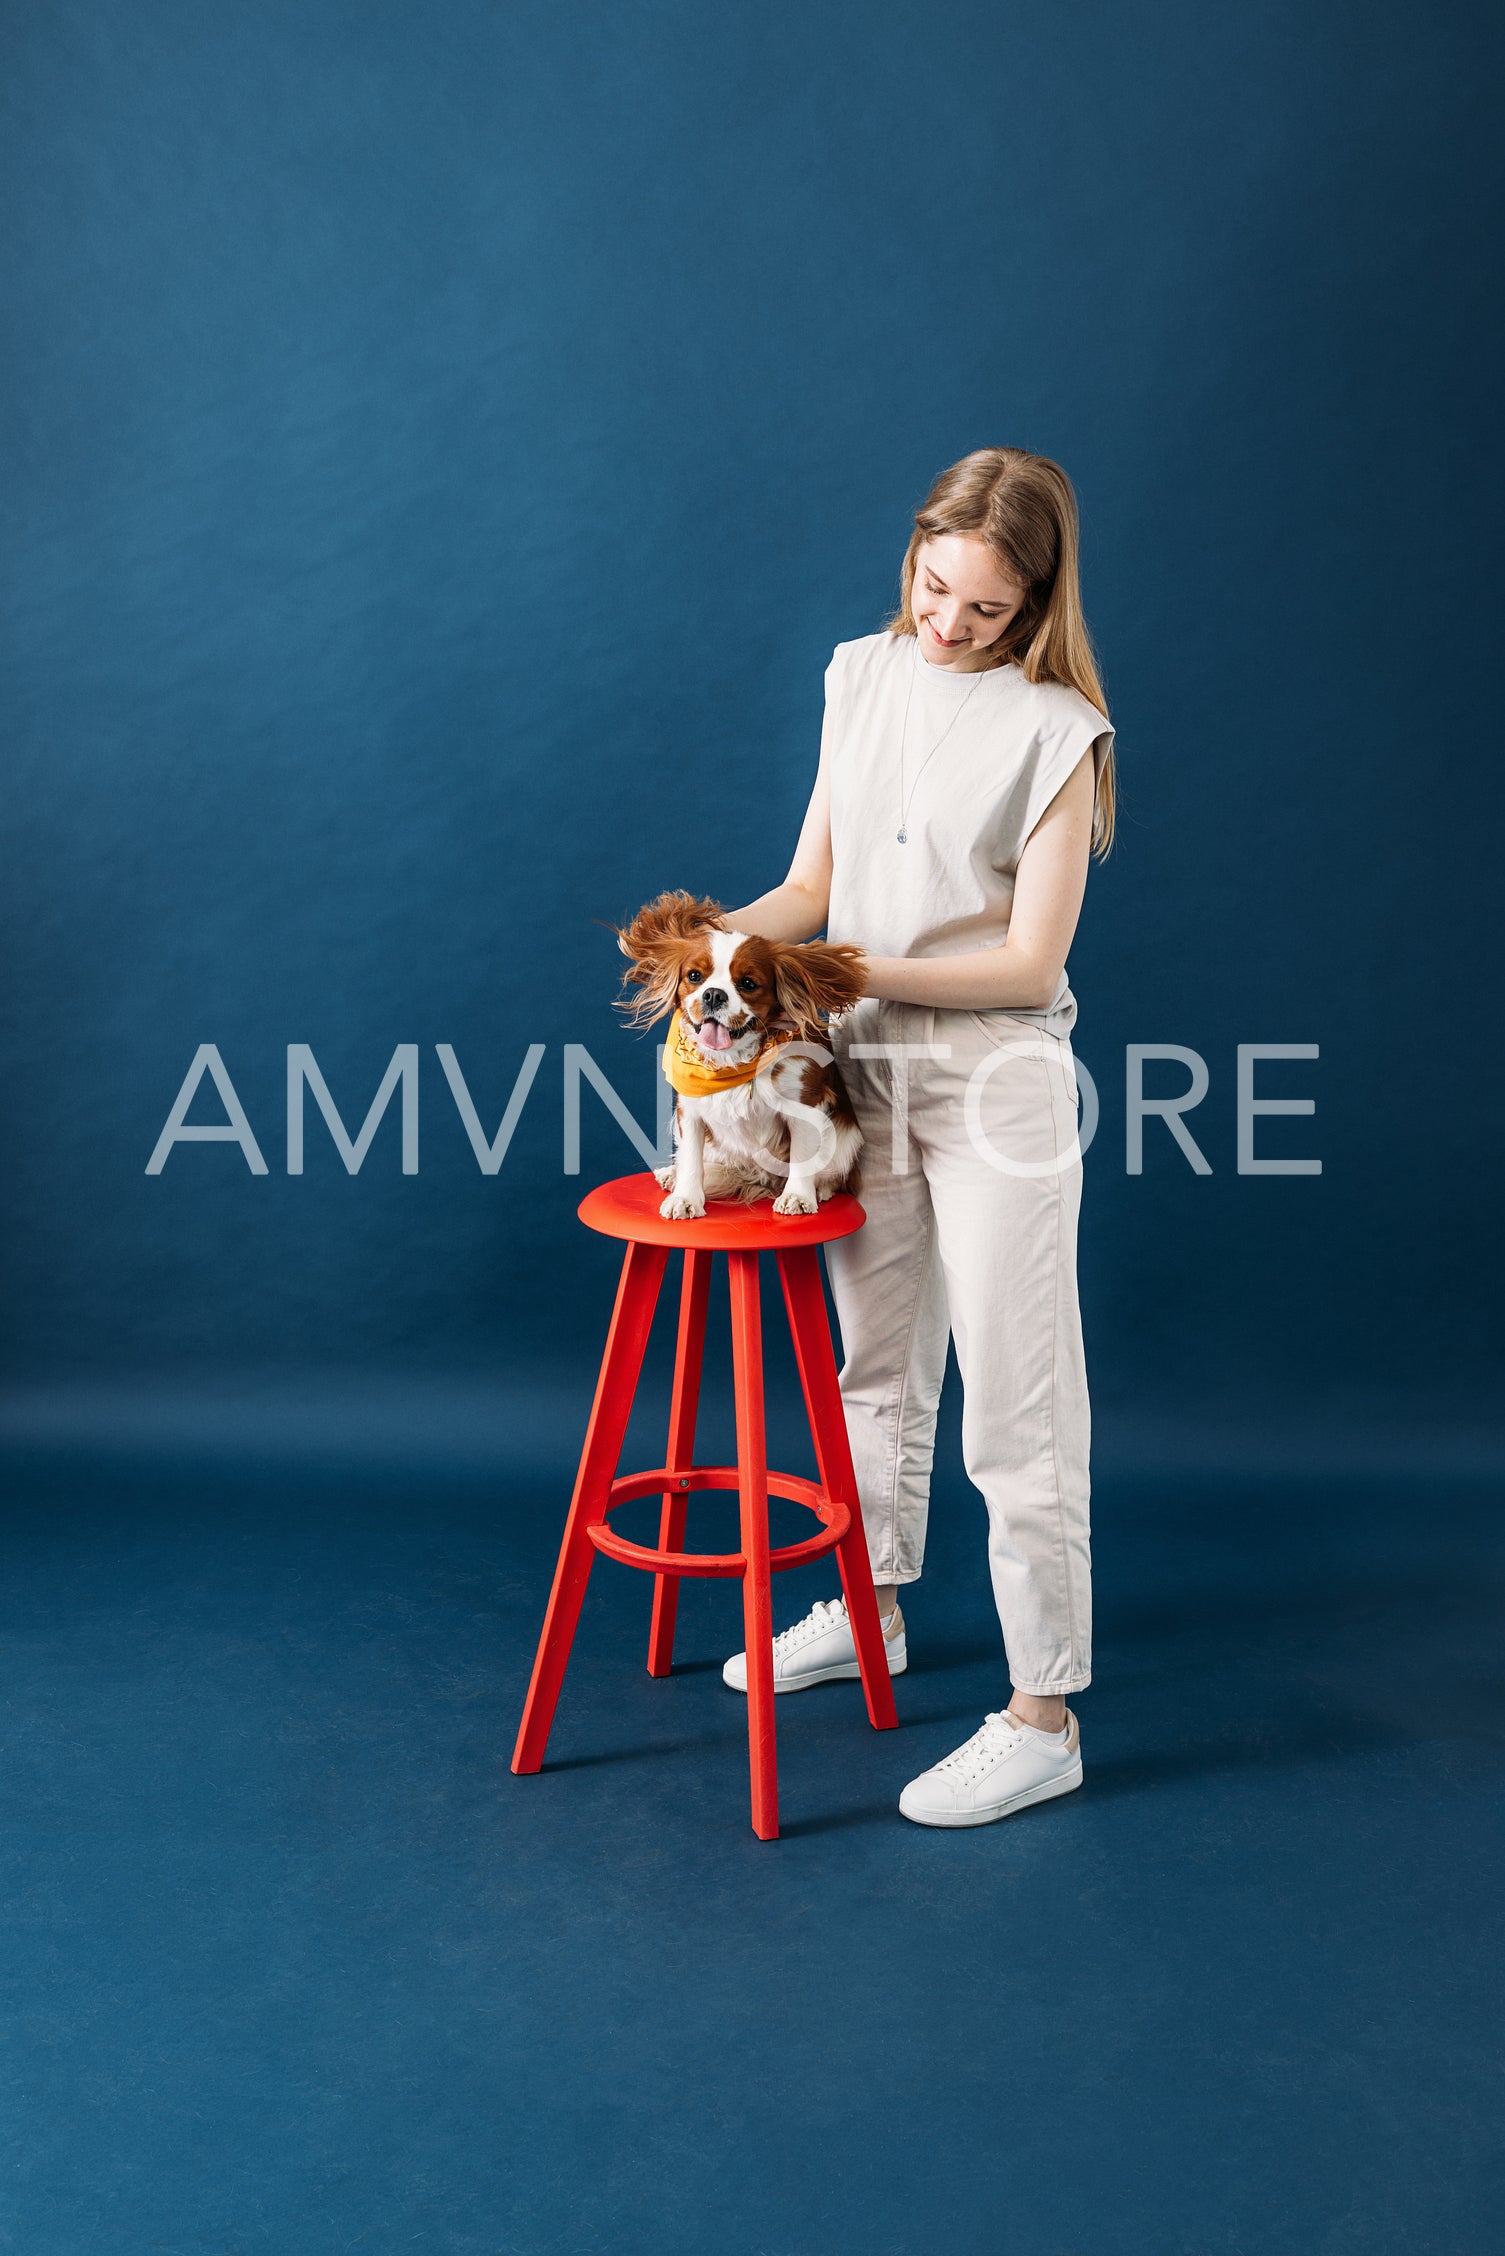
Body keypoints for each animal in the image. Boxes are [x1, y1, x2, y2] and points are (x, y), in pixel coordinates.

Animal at [613, 888, 870, 1227]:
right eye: (694, 976)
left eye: (747, 983)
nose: (713, 994)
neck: (732, 1060)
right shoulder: (690, 1110)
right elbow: (691, 1158)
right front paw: (685, 1198)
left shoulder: (804, 1104)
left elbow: (803, 1157)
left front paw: (798, 1197)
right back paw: (673, 1174)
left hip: (847, 1138)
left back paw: (821, 1188)